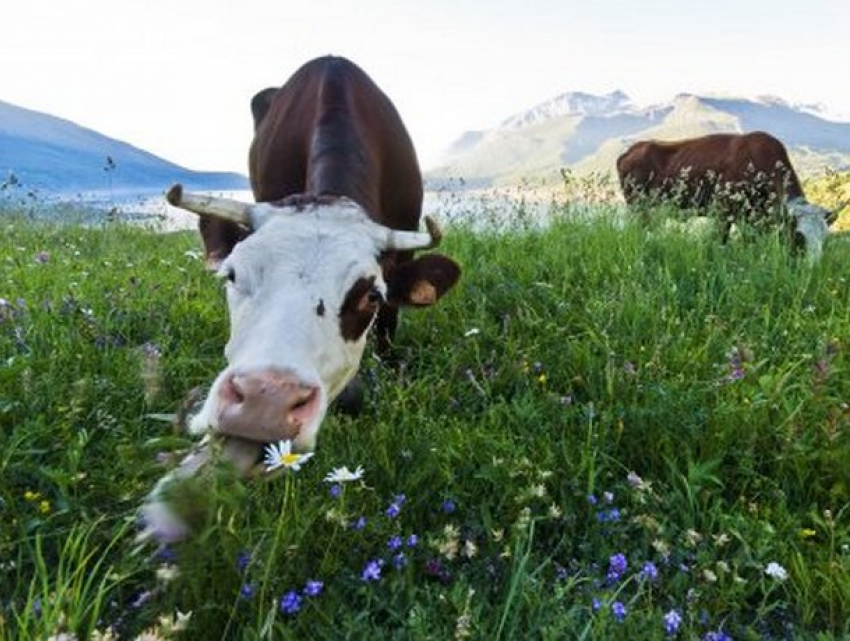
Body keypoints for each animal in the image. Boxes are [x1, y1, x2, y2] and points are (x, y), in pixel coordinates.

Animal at [612, 130, 840, 258]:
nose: (812, 267)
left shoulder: (750, 217)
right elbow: (721, 240)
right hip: (638, 205)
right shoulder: (724, 210)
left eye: (824, 239)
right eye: (798, 237)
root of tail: (629, 151)